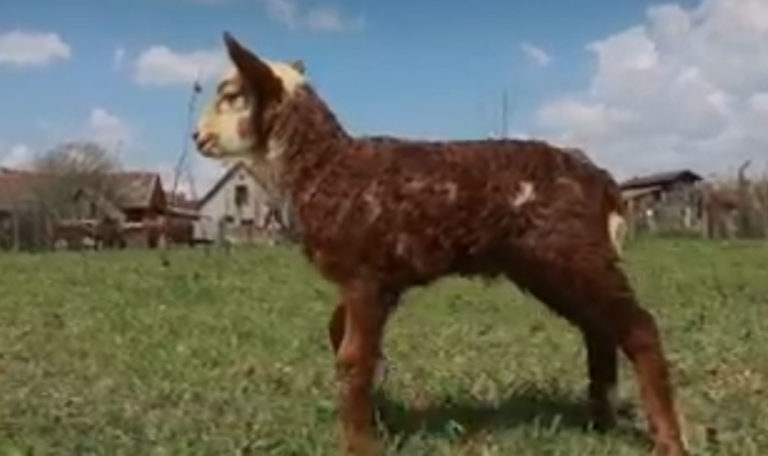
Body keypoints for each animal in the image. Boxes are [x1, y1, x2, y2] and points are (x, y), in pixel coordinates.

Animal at [192, 32, 686, 456]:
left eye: (231, 96)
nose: (198, 136)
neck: (323, 165)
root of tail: (602, 179)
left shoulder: (366, 273)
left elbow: (354, 356)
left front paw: (360, 443)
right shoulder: (374, 279)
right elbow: (342, 337)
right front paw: (377, 415)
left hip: (574, 252)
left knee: (639, 327)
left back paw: (667, 438)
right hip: (551, 265)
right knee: (599, 327)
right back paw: (600, 420)